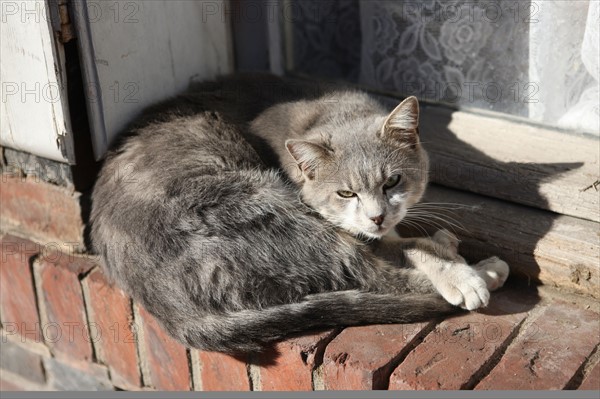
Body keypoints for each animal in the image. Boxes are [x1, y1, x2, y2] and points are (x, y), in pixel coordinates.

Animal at [91, 74, 508, 354]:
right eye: (346, 192)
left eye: (393, 181)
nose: (376, 217)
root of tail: (165, 306)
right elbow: (405, 245)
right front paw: (456, 266)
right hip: (271, 209)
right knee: (373, 274)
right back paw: (483, 270)